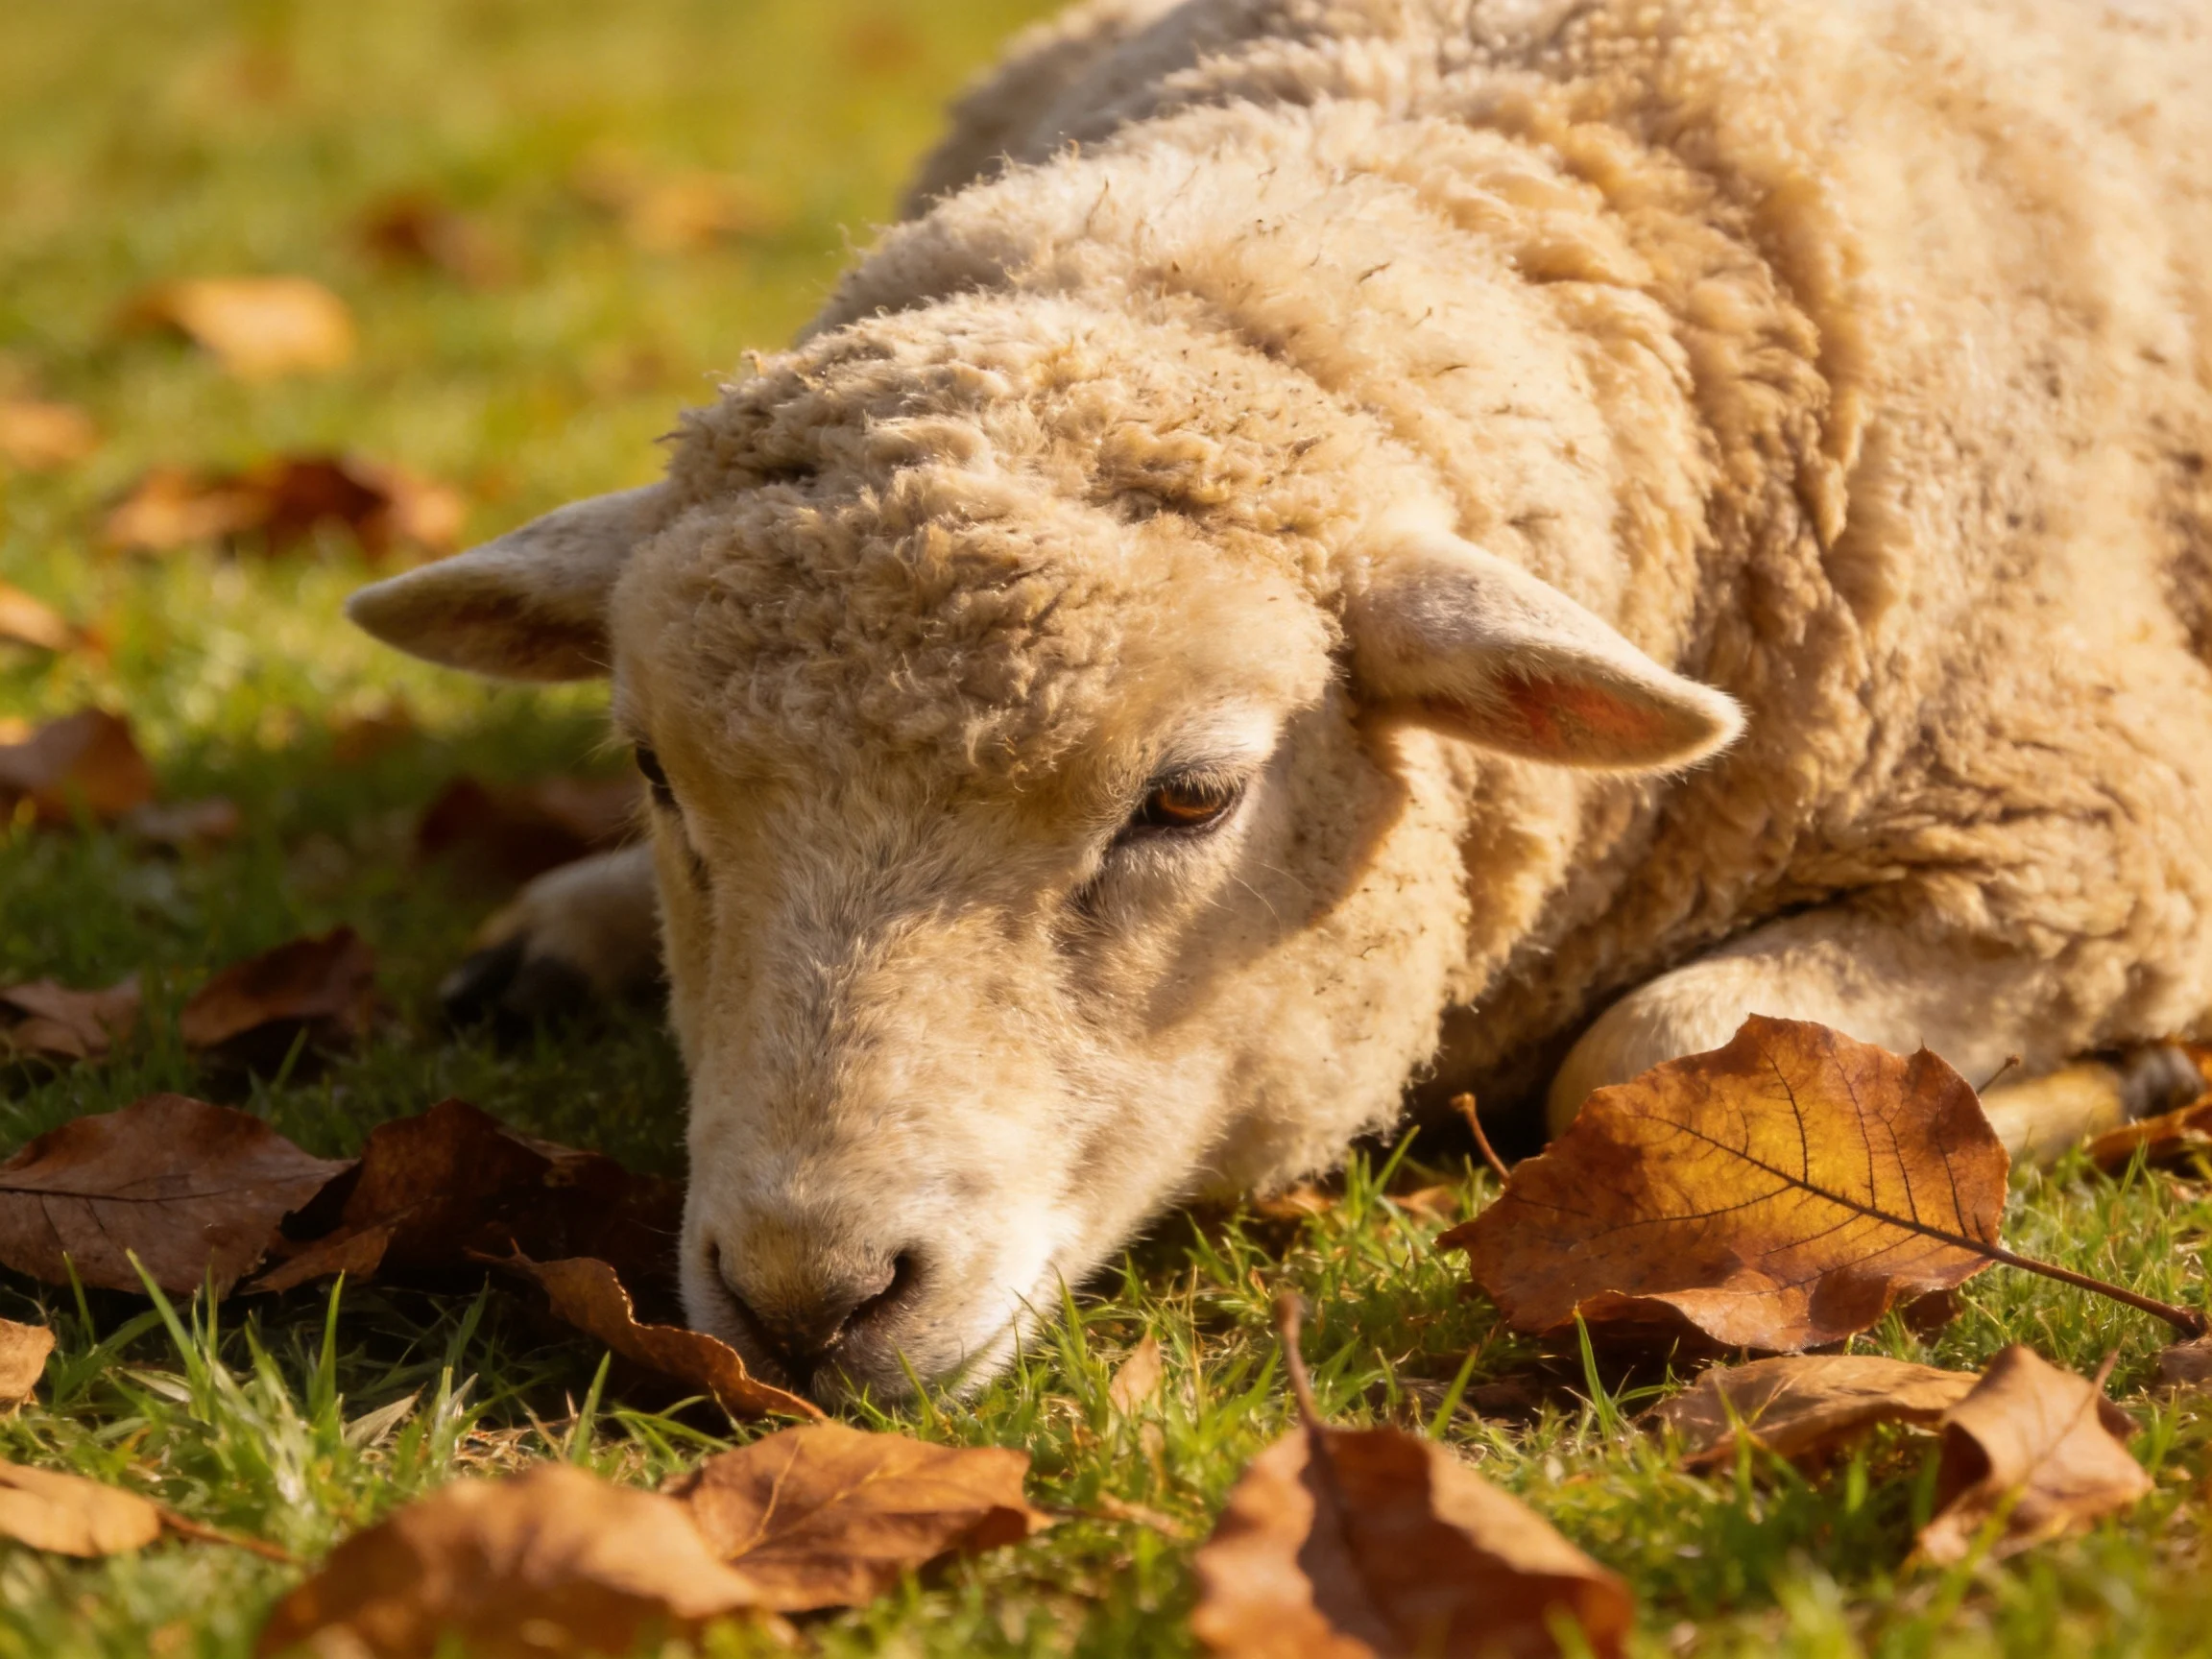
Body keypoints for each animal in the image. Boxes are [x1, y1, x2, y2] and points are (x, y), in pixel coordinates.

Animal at [347, 0, 2212, 1402]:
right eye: (655, 770)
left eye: (1191, 797)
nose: (812, 1292)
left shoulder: (2092, 844)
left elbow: (1648, 1049)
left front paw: (2066, 1108)